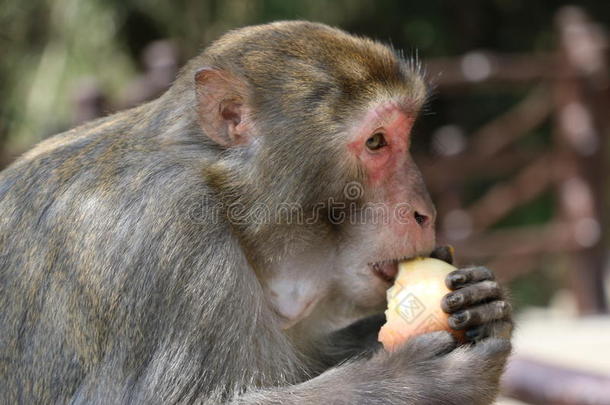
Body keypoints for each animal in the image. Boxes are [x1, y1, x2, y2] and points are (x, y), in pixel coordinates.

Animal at [0, 22, 510, 404]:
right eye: (377, 141)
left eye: (403, 134)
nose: (426, 212)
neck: (224, 199)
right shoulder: (167, 238)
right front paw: (417, 380)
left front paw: (481, 304)